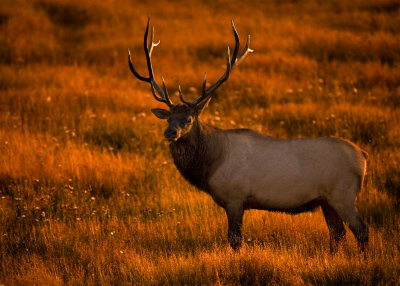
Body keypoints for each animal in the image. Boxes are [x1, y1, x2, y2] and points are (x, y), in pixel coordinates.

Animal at [127, 17, 368, 251]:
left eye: (189, 119)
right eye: (168, 118)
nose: (170, 132)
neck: (211, 165)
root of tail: (363, 156)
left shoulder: (235, 197)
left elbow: (235, 240)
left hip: (344, 194)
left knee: (361, 229)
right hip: (327, 201)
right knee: (337, 234)